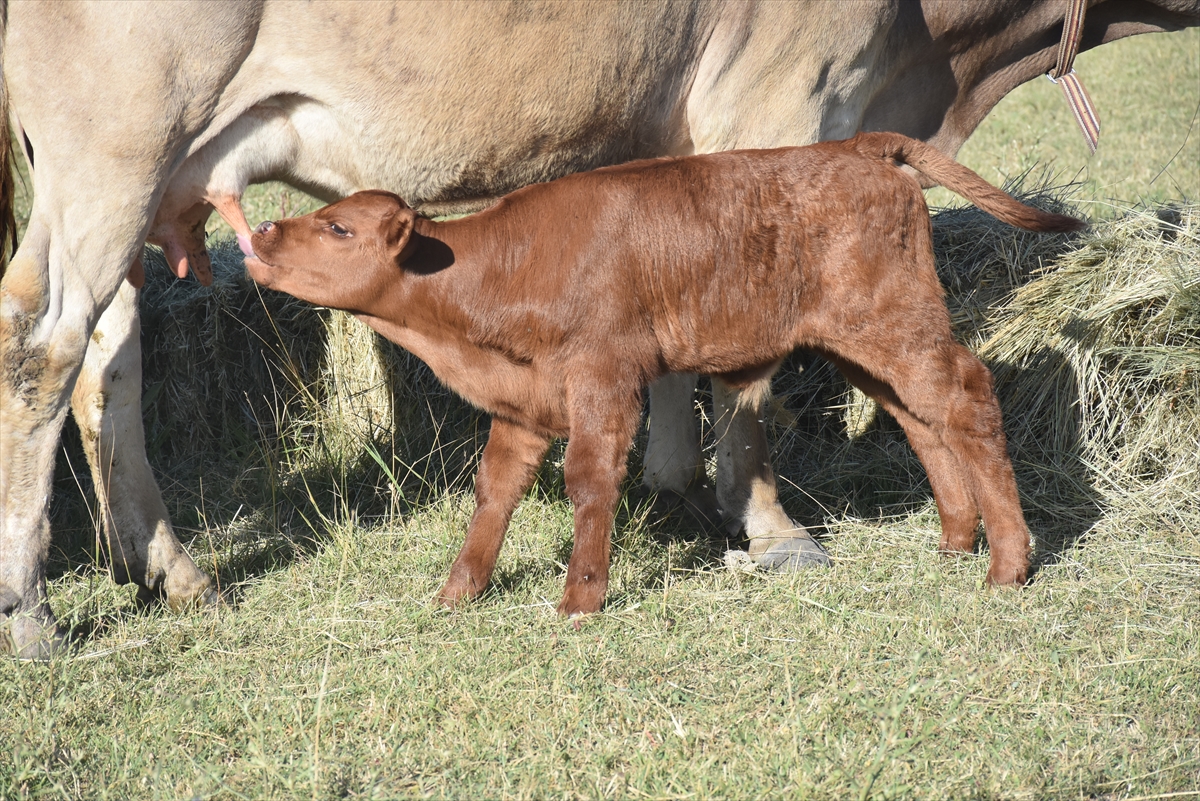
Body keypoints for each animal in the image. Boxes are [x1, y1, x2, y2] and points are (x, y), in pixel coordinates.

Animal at [241, 134, 1080, 618]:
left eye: (339, 227)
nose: (262, 231)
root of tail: (860, 146)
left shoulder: (603, 376)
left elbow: (590, 479)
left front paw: (580, 597)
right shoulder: (526, 401)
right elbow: (496, 488)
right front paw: (460, 589)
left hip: (897, 323)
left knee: (967, 399)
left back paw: (1008, 564)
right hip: (864, 346)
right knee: (921, 419)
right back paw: (956, 539)